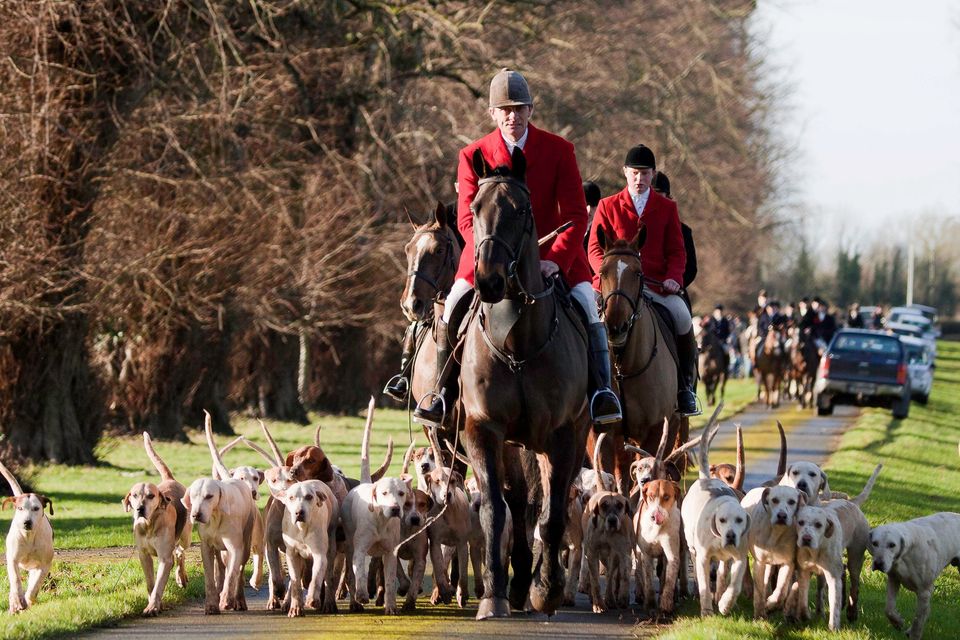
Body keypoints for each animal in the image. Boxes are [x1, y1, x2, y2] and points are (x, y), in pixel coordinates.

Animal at [460, 148, 592, 616]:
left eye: (521, 210)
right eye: (473, 209)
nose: (489, 280)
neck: (516, 342)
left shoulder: (562, 434)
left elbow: (552, 517)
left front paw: (546, 588)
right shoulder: (483, 429)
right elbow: (495, 511)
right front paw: (495, 593)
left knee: (548, 503)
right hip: (514, 444)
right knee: (517, 504)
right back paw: (515, 582)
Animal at [592, 229, 684, 496]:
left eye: (638, 273)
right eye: (602, 271)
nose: (616, 326)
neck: (624, 365)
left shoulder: (654, 431)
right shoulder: (604, 432)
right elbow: (605, 477)